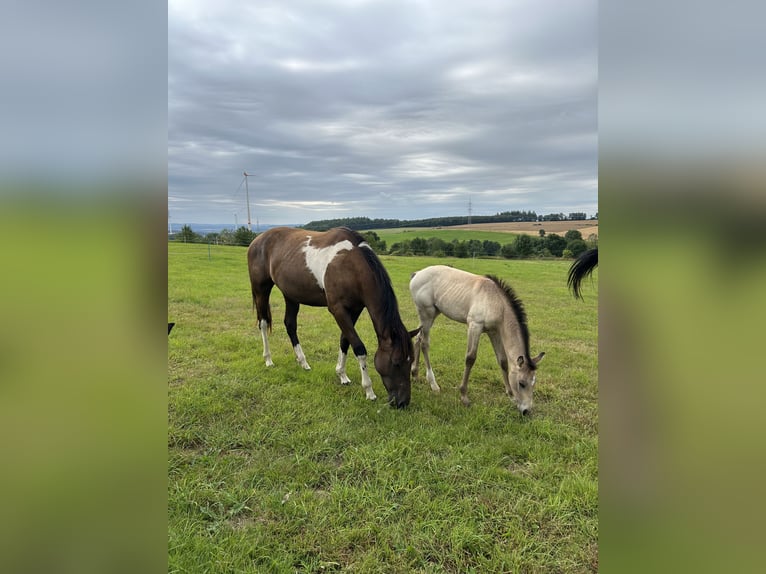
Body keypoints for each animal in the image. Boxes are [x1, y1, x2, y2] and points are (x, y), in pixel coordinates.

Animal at [247, 227, 418, 408]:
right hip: (261, 289)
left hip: (291, 295)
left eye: (411, 361)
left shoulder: (355, 309)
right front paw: (369, 390)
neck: (352, 265)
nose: (402, 402)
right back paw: (268, 359)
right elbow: (359, 347)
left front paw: (342, 375)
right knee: (263, 323)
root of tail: (257, 240)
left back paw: (303, 362)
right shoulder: (338, 310)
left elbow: (345, 340)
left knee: (290, 325)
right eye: (396, 362)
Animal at [409, 265, 545, 414]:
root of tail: (417, 273)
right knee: (424, 343)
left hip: (432, 314)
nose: (526, 411)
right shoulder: (475, 326)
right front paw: (464, 396)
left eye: (534, 382)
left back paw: (415, 374)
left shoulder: (494, 332)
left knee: (418, 338)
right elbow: (470, 358)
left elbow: (502, 361)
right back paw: (433, 384)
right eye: (521, 383)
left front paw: (511, 396)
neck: (497, 303)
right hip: (427, 314)